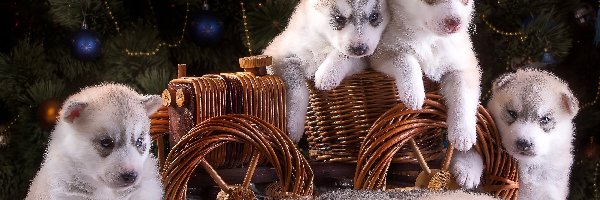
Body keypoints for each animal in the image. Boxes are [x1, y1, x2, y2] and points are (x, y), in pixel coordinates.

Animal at [262, 0, 390, 142]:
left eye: (374, 16)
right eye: (338, 18)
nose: (359, 49)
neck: (324, 44)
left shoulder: (363, 61)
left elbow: (344, 55)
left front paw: (327, 74)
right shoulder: (277, 54)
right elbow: (297, 89)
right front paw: (293, 125)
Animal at [368, 0, 480, 151]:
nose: (455, 23)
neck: (429, 39)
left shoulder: (463, 67)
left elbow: (462, 96)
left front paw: (462, 133)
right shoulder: (384, 52)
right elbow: (406, 60)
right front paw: (413, 93)